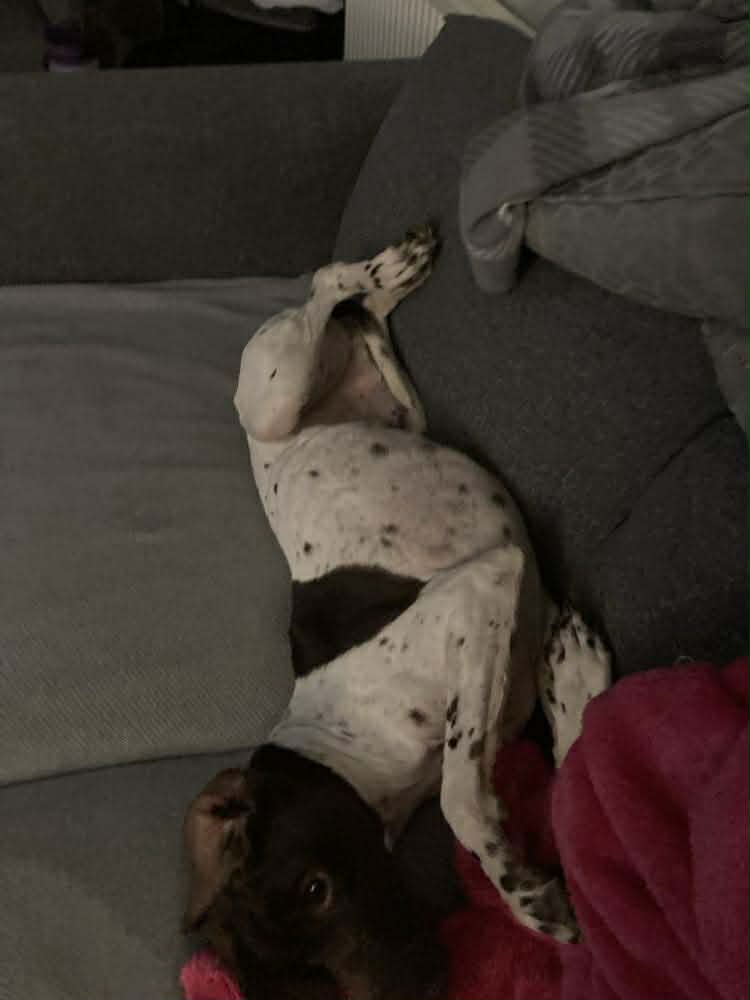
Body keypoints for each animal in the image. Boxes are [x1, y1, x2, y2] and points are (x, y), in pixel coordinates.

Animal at [183, 226, 611, 1000]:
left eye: (315, 890)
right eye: (301, 985)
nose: (421, 988)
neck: (345, 750)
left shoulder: (481, 587)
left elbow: (460, 803)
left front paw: (520, 889)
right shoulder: (497, 699)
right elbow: (570, 788)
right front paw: (575, 677)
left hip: (272, 391)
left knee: (325, 283)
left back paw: (387, 263)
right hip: (394, 408)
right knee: (360, 319)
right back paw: (387, 283)